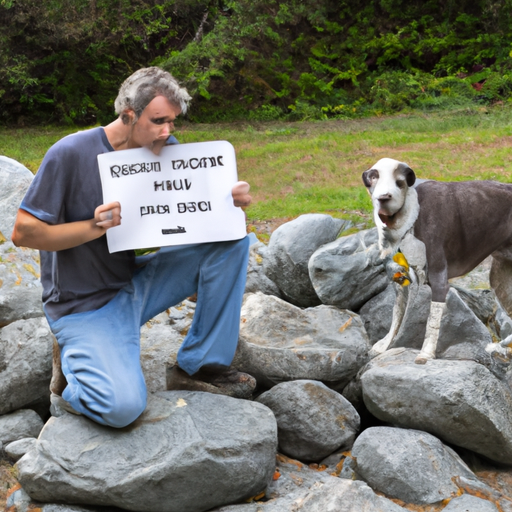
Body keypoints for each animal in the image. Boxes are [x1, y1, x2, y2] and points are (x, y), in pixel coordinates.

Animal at [362, 158, 512, 362]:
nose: (384, 198)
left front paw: (426, 353)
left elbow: (431, 323)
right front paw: (383, 345)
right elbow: (396, 316)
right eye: (373, 178)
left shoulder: (439, 282)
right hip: (500, 280)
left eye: (399, 182)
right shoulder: (400, 284)